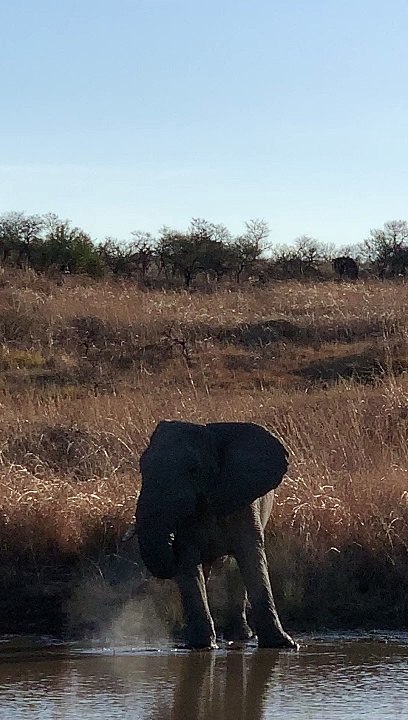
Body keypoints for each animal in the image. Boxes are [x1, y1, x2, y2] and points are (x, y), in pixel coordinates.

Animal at [123, 419, 297, 650]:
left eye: (193, 469)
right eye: (142, 468)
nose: (170, 538)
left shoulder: (243, 502)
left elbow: (251, 557)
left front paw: (284, 645)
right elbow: (189, 563)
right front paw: (201, 646)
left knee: (236, 568)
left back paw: (242, 636)